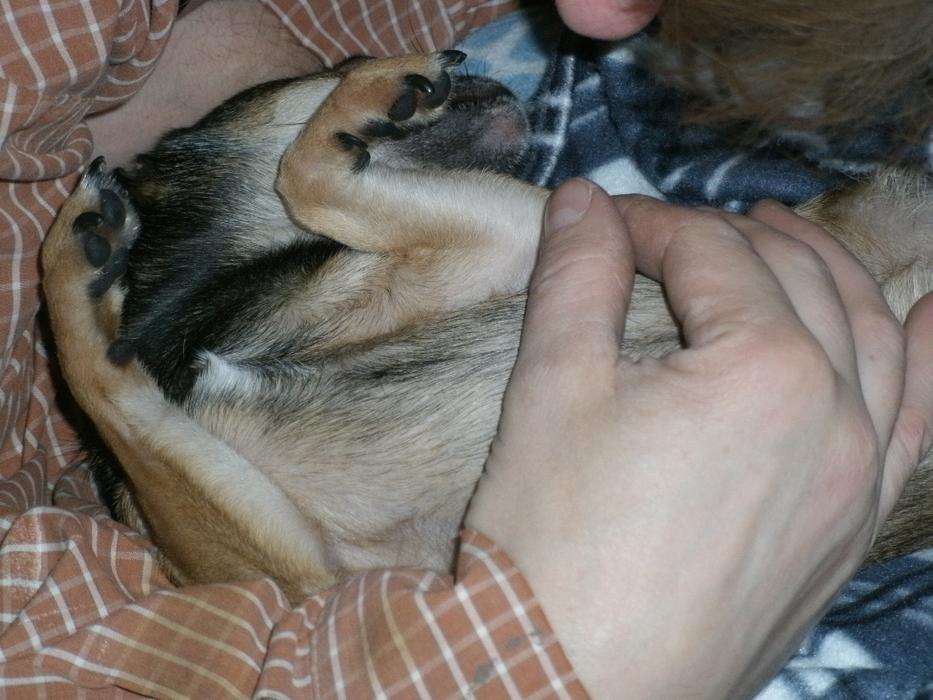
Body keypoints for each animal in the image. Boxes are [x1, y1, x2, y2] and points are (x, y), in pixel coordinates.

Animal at [41, 52, 933, 603]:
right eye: (332, 57)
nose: (473, 69)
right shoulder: (295, 570)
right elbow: (112, 388)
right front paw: (78, 263)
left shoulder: (510, 233)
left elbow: (310, 174)